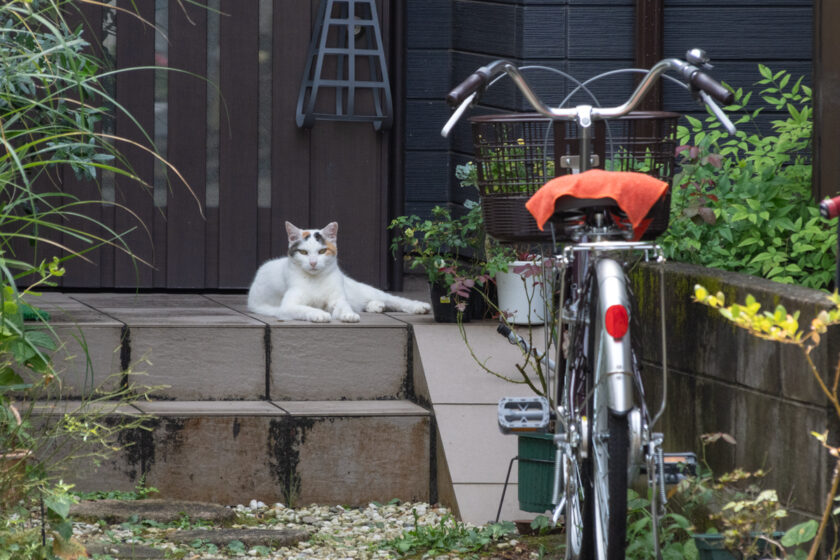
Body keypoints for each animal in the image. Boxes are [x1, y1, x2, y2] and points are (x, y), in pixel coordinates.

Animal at [248, 220, 434, 322]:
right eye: (304, 253)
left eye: (322, 251)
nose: (313, 263)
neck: (316, 280)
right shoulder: (287, 306)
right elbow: (305, 308)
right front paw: (320, 314)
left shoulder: (338, 299)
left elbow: (344, 307)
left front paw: (349, 315)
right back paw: (376, 306)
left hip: (365, 290)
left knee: (394, 300)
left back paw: (419, 306)